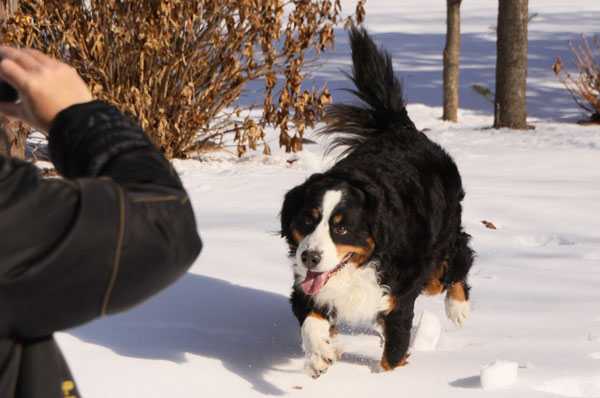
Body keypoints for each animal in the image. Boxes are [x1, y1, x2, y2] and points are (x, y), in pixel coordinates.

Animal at [280, 26, 474, 378]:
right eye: (307, 220)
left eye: (342, 229)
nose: (310, 257)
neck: (361, 265)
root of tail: (404, 130)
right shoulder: (307, 287)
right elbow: (311, 322)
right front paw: (319, 355)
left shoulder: (398, 297)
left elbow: (393, 353)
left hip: (443, 238)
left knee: (456, 260)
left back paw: (457, 307)